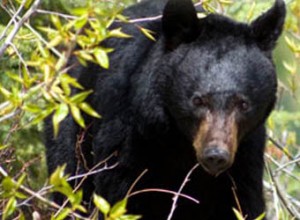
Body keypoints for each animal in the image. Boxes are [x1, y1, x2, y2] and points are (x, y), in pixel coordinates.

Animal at [45, 0, 286, 219]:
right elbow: (121, 196)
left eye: (243, 104)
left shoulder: (245, 154)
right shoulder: (128, 137)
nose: (216, 156)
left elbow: (241, 204)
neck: (178, 142)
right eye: (197, 100)